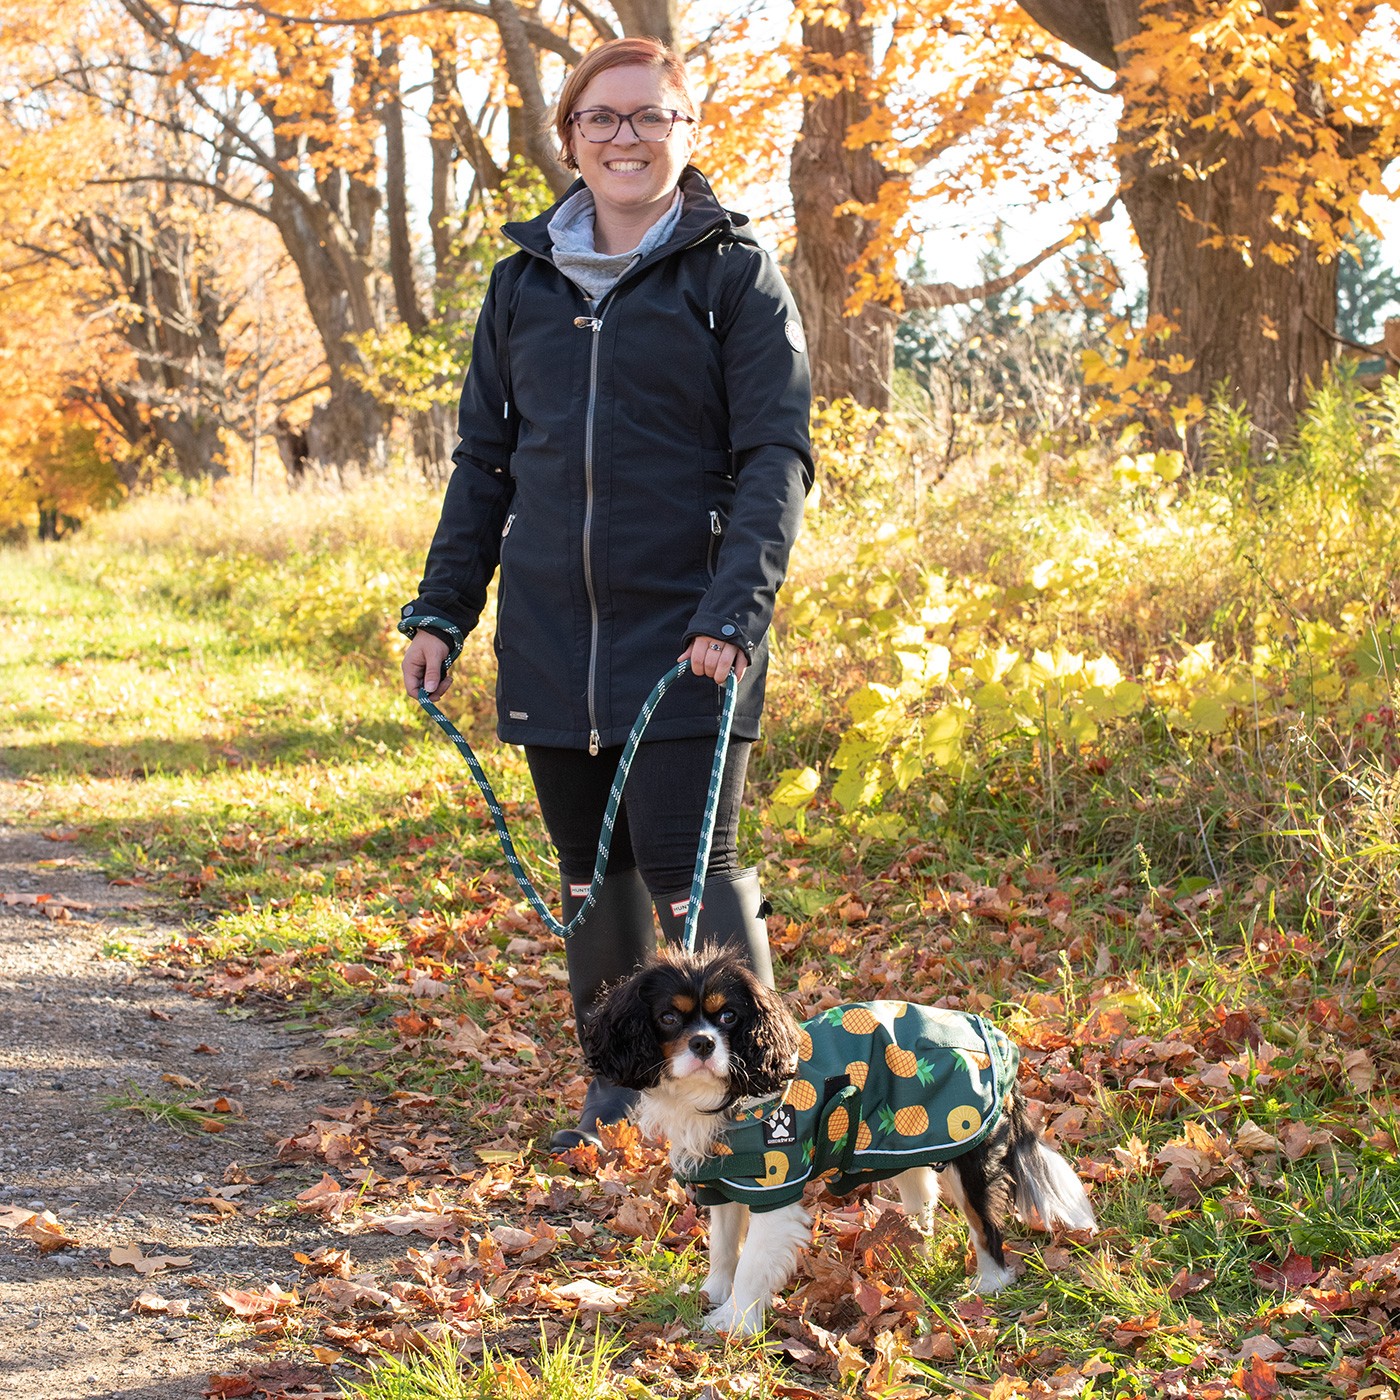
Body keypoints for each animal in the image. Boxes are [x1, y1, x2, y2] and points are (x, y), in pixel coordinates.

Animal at [579, 946, 1092, 1338]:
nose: (703, 1043)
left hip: (967, 1155)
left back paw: (988, 1285)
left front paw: (735, 1321)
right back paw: (914, 1254)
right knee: (922, 1202)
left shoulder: (774, 1188)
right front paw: (713, 1293)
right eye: (668, 1018)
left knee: (986, 1228)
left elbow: (751, 1264)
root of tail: (1001, 1044)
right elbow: (724, 1247)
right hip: (911, 1140)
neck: (722, 1096)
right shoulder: (725, 1183)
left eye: (728, 1016)